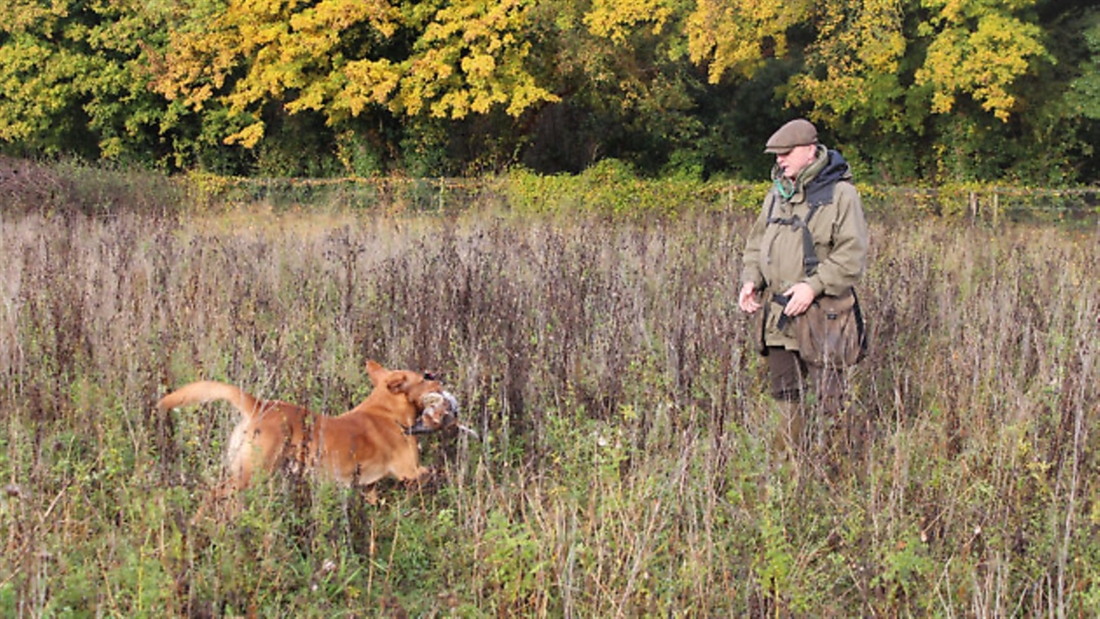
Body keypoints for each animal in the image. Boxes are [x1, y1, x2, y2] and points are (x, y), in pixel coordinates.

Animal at [157, 360, 457, 516]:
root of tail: (260, 405)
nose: (439, 378)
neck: (387, 412)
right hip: (250, 474)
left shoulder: (368, 486)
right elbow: (435, 471)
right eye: (425, 378)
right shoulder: (410, 471)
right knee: (214, 494)